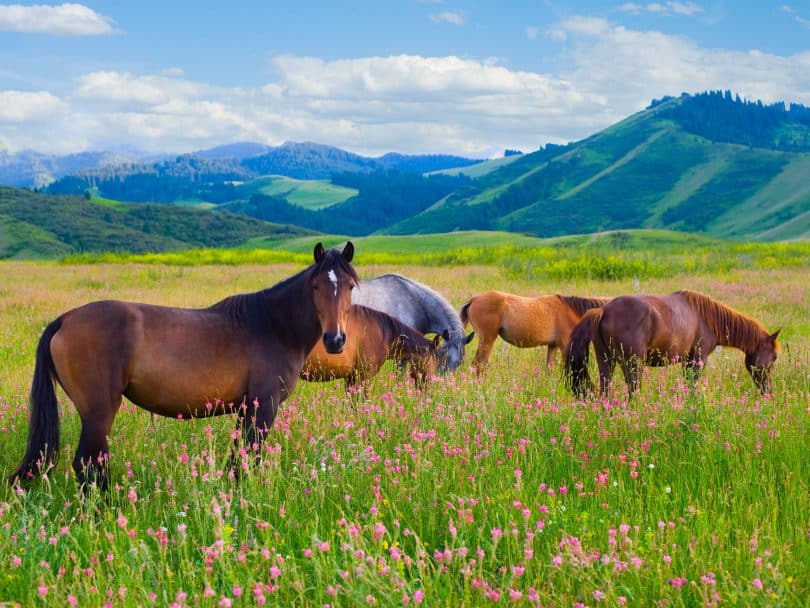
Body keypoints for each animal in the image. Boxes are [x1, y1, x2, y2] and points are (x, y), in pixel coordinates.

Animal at [9, 242, 356, 490]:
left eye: (350, 286)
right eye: (316, 287)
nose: (335, 339)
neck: (272, 325)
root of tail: (65, 320)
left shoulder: (246, 407)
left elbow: (237, 458)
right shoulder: (264, 404)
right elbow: (250, 456)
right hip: (98, 413)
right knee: (89, 464)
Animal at [458, 292, 608, 372]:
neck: (570, 310)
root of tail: (473, 300)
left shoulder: (553, 345)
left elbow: (549, 368)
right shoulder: (565, 345)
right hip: (487, 339)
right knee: (478, 364)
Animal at [560, 290, 776, 400]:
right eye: (774, 357)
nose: (768, 392)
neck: (706, 317)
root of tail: (604, 310)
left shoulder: (687, 361)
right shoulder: (697, 359)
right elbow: (693, 384)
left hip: (606, 361)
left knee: (606, 389)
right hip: (632, 363)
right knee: (633, 390)